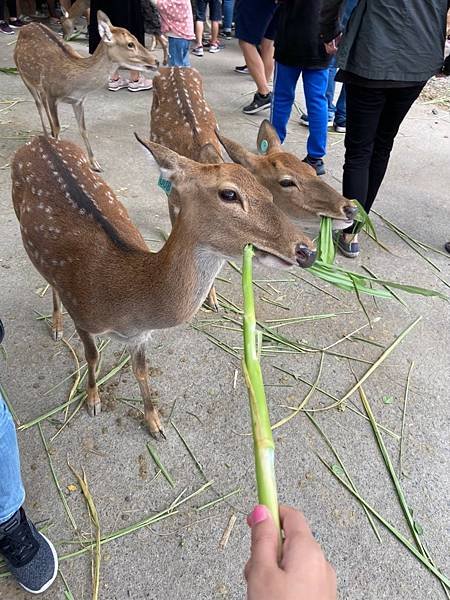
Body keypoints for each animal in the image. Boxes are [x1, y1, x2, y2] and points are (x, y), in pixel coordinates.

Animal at [11, 135, 316, 436]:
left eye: (268, 193)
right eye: (229, 194)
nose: (307, 250)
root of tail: (38, 139)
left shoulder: (139, 336)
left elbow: (141, 371)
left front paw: (155, 423)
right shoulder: (82, 315)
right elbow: (93, 357)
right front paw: (93, 400)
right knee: (50, 283)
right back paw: (56, 327)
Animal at [13, 11, 158, 171]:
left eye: (137, 39)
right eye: (130, 44)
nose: (156, 61)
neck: (75, 85)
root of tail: (27, 25)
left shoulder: (78, 101)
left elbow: (83, 129)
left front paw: (95, 163)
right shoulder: (52, 95)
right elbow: (58, 127)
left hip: (40, 86)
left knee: (41, 102)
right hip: (24, 75)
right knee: (38, 103)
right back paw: (46, 134)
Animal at [151, 66, 358, 310]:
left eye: (311, 169)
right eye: (286, 181)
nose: (351, 208)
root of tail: (173, 65)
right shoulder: (174, 202)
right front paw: (211, 299)